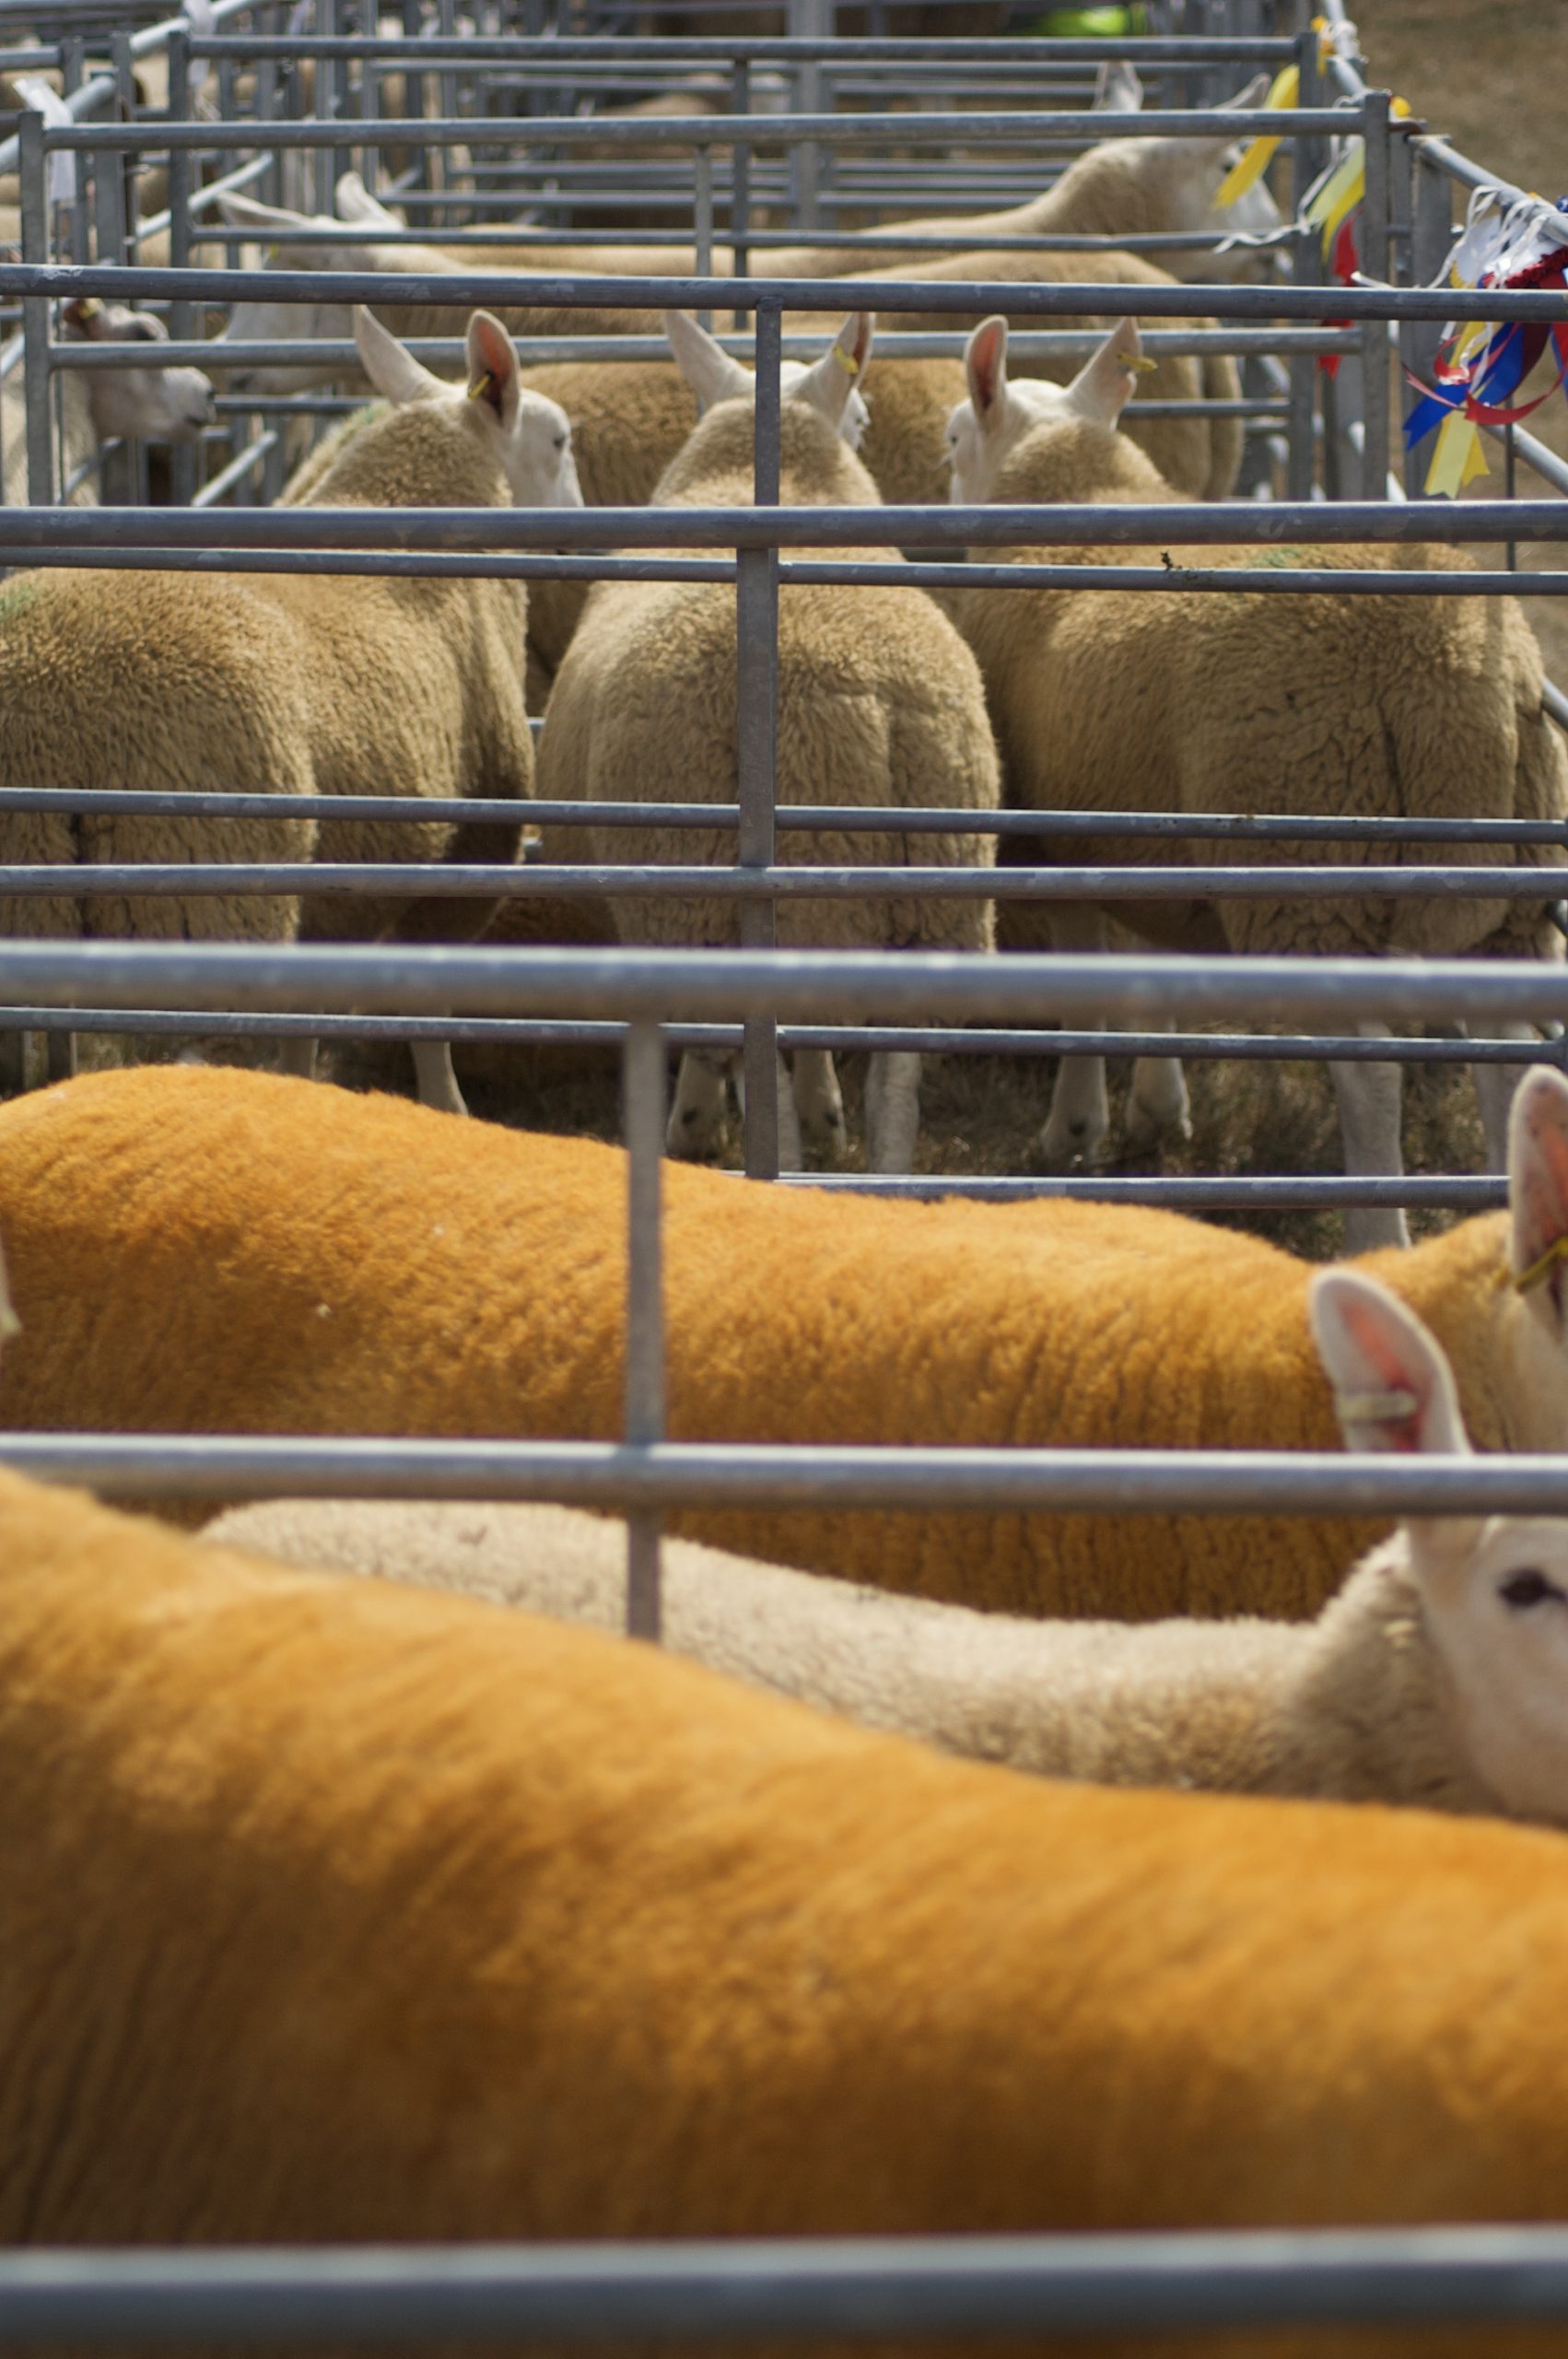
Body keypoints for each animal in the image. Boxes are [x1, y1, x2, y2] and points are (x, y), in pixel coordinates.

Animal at [535, 309, 1000, 1173]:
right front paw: (827, 1113)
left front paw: (695, 1120)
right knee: (897, 1086)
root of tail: (862, 694)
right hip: (934, 902)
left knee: (763, 1078)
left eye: (861, 420)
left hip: (720, 901)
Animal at [942, 317, 1568, 1247]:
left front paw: (1074, 1130)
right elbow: (1147, 968)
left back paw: (1379, 1235)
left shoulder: (1053, 840)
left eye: (952, 440)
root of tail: (1448, 670)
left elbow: (1083, 987)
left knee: (1372, 1076)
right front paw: (1158, 1109)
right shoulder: (1143, 829)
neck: (1076, 493)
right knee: (1508, 1056)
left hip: (1308, 865)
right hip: (1506, 888)